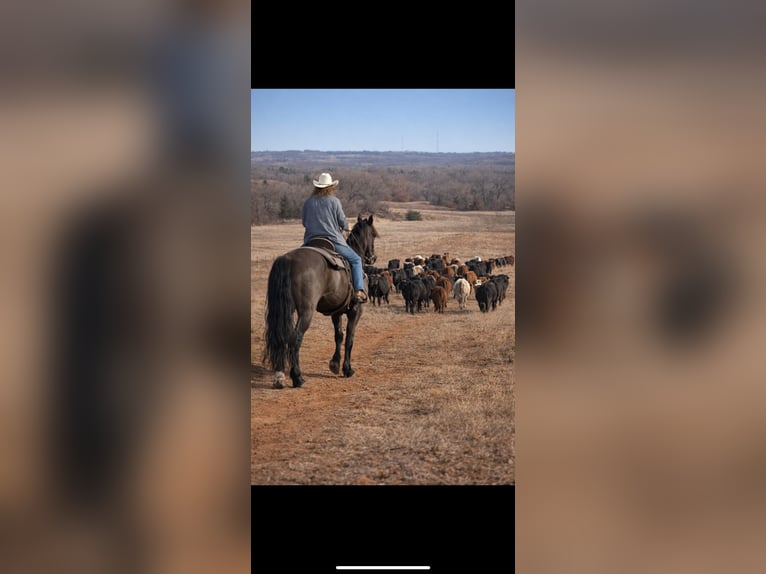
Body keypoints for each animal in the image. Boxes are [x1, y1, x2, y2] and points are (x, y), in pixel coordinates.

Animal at [262, 215, 379, 388]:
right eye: (373, 235)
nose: (372, 257)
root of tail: (287, 260)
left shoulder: (336, 312)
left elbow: (339, 335)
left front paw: (334, 365)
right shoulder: (355, 311)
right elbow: (349, 338)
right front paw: (347, 369)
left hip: (286, 310)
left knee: (281, 336)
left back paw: (279, 376)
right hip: (306, 311)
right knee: (295, 337)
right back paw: (297, 377)